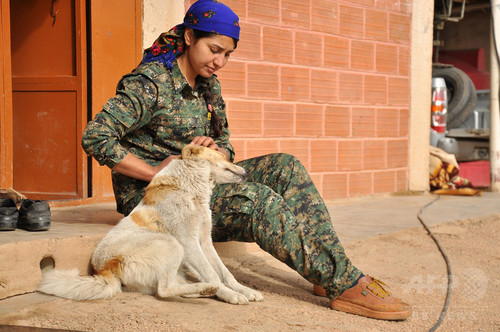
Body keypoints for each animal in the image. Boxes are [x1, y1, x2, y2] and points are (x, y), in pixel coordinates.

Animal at [38, 144, 264, 304]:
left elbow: (225, 273)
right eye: (223, 157)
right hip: (171, 244)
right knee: (164, 290)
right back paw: (206, 289)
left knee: (167, 288)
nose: (246, 173)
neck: (190, 189)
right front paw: (230, 294)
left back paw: (203, 290)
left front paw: (244, 290)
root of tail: (104, 270)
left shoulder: (205, 242)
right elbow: (214, 274)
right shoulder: (189, 242)